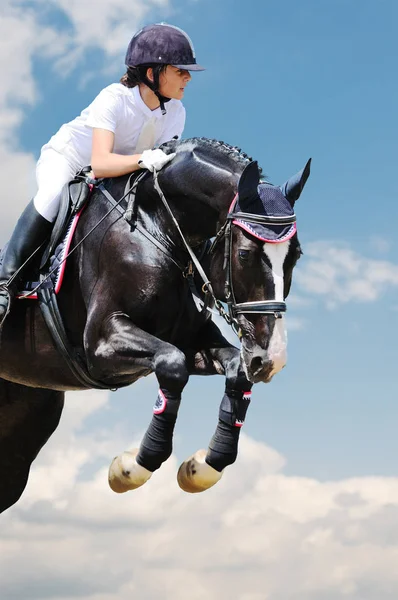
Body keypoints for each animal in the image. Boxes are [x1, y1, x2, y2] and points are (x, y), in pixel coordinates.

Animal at [0, 139, 310, 510]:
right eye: (245, 254)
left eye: (296, 255)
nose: (271, 359)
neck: (160, 229)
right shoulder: (100, 343)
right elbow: (172, 366)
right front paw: (130, 468)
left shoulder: (193, 340)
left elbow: (235, 369)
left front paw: (204, 466)